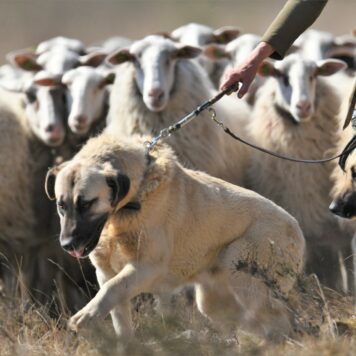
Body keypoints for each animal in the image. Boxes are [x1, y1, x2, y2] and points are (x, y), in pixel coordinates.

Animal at [46, 133, 304, 340]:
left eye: (86, 204)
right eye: (61, 206)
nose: (67, 245)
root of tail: (297, 230)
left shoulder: (147, 267)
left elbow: (112, 289)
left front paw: (85, 316)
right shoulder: (106, 272)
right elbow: (117, 309)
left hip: (242, 273)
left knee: (278, 321)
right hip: (213, 300)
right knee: (254, 323)